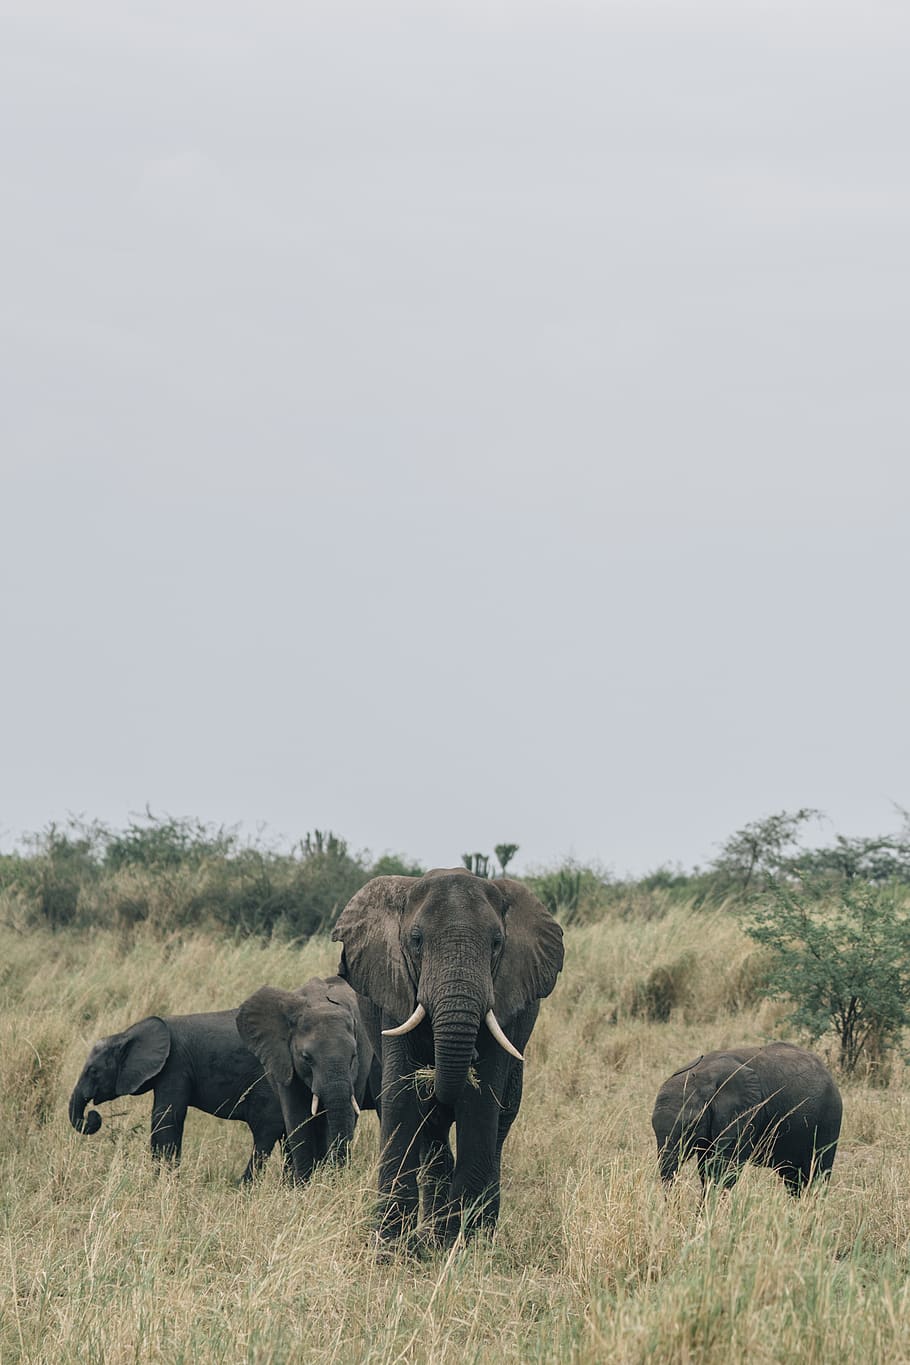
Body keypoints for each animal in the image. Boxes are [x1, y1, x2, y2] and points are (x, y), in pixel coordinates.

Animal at [68, 1009, 287, 1181]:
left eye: (93, 1071)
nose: (93, 1116)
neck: (126, 1034)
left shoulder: (175, 1065)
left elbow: (166, 1117)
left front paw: (161, 1182)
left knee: (265, 1132)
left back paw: (243, 1186)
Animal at [236, 976, 377, 1182]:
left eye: (353, 1057)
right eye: (306, 1058)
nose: (338, 1179)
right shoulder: (284, 1059)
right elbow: (297, 1118)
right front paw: (302, 1184)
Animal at [332, 868, 564, 1245]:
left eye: (496, 943)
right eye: (416, 940)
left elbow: (480, 1103)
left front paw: (458, 1246)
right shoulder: (395, 991)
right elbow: (402, 1099)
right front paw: (393, 1249)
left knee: (499, 1127)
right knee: (433, 1135)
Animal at [651, 1042, 843, 1196]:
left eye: (690, 1127)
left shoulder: (744, 1113)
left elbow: (724, 1168)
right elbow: (706, 1169)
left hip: (829, 1118)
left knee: (817, 1174)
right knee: (792, 1178)